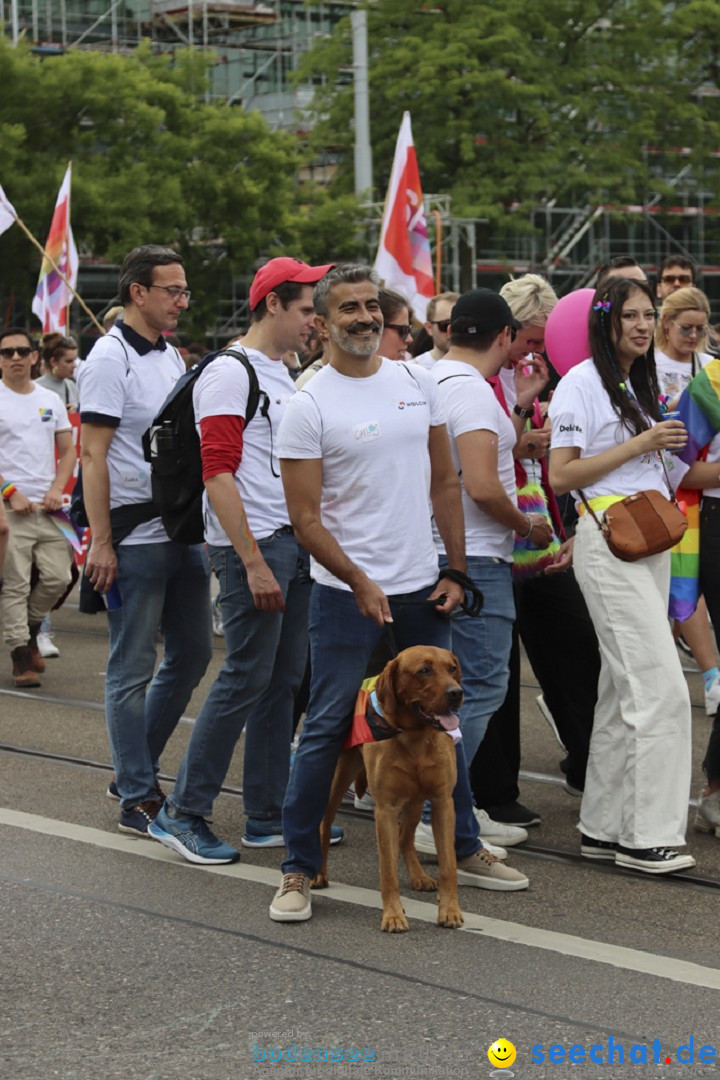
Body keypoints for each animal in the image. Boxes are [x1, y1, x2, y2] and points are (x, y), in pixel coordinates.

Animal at [317, 643, 468, 933]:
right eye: (424, 670)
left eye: (453, 668)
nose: (456, 693)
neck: (416, 736)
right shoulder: (385, 809)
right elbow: (388, 871)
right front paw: (394, 915)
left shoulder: (442, 801)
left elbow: (449, 866)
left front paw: (450, 910)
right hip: (334, 782)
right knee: (323, 825)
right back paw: (317, 873)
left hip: (416, 802)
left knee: (405, 838)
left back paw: (419, 876)